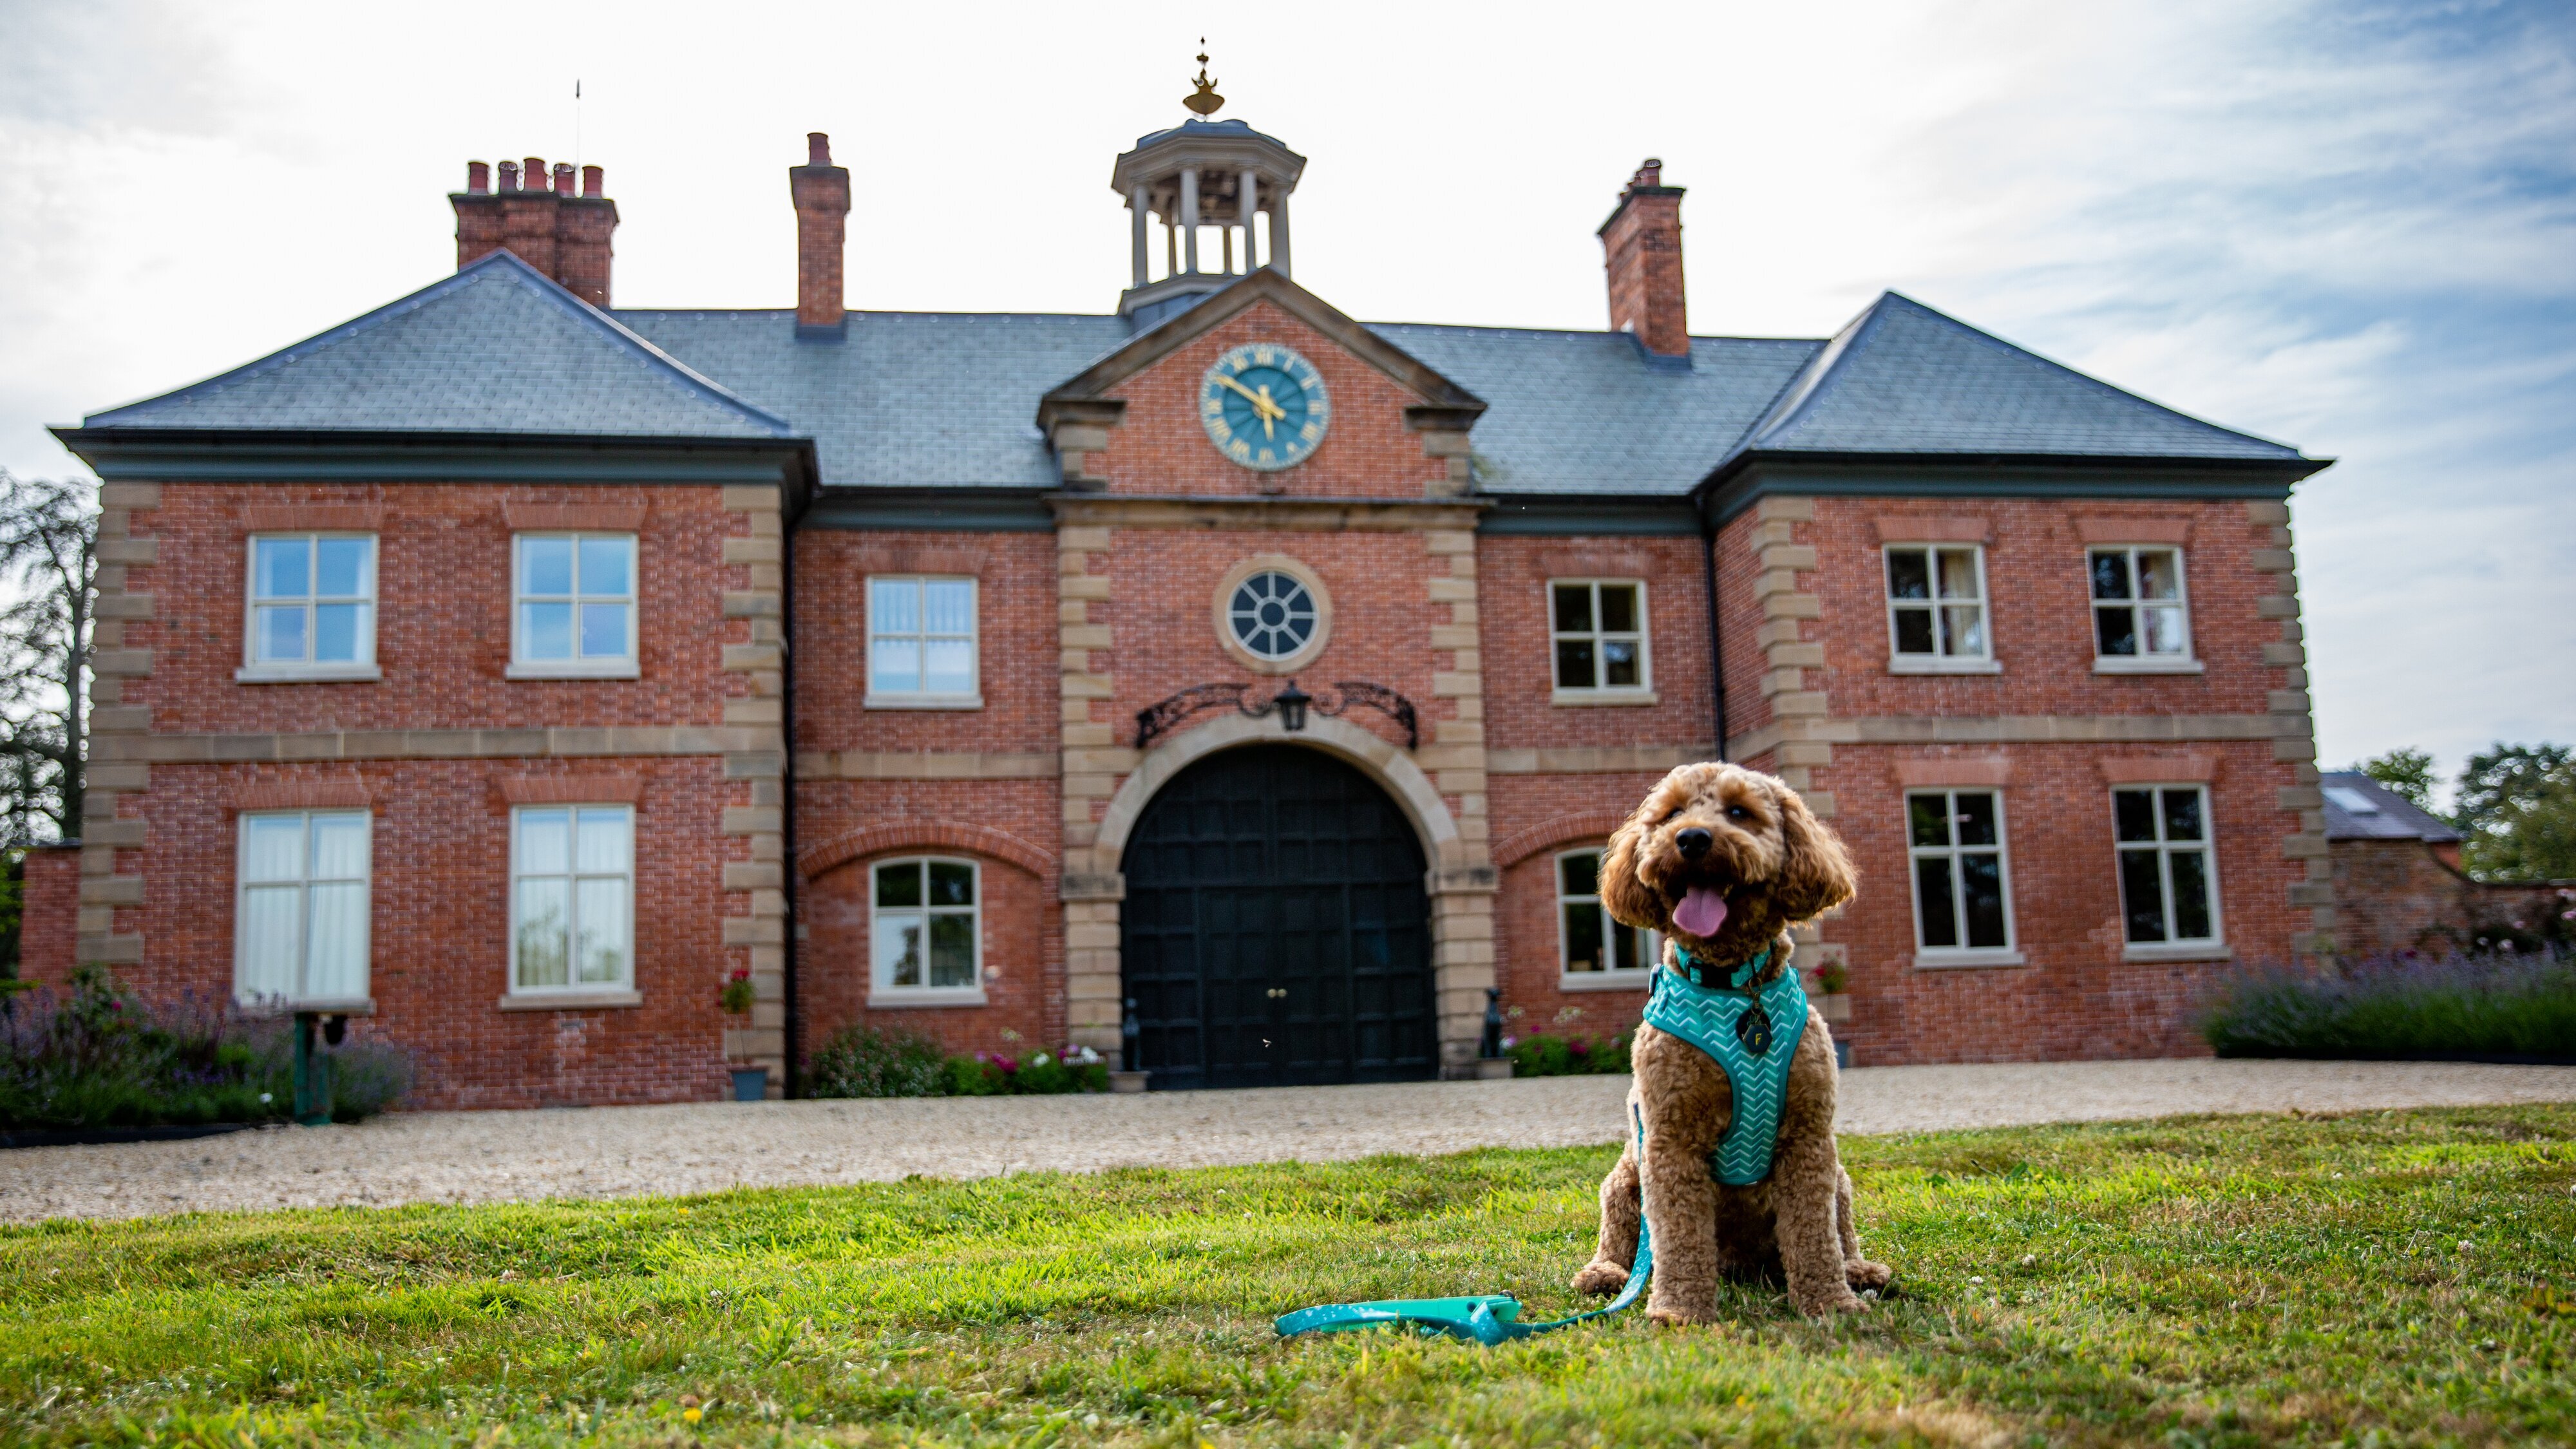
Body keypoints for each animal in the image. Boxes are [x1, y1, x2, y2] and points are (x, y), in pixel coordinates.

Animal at [1556, 763, 1906, 1314]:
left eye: (1739, 811)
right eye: (1672, 813)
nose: (1692, 838)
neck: (1735, 986)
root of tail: (1742, 1264)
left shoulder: (1808, 1137)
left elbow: (1815, 1232)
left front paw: (1831, 1302)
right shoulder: (1671, 1140)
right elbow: (1679, 1234)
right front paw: (1679, 1309)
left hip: (1839, 1176)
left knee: (1840, 1225)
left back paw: (1858, 1270)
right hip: (1626, 1177)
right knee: (1621, 1233)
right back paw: (1605, 1274)